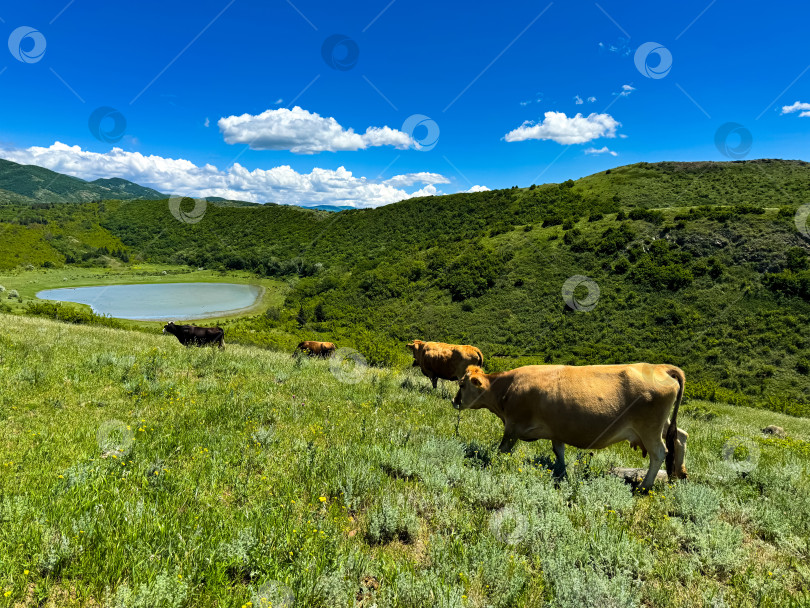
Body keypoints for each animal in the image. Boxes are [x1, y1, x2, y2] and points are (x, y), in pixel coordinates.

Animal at [452, 364, 684, 492]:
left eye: (462, 384)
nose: (454, 401)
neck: (507, 388)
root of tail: (659, 367)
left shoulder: (512, 426)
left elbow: (502, 450)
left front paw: (494, 465)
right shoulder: (557, 429)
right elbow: (559, 451)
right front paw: (561, 473)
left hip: (649, 428)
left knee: (659, 452)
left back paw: (645, 486)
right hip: (662, 425)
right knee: (680, 437)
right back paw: (679, 475)